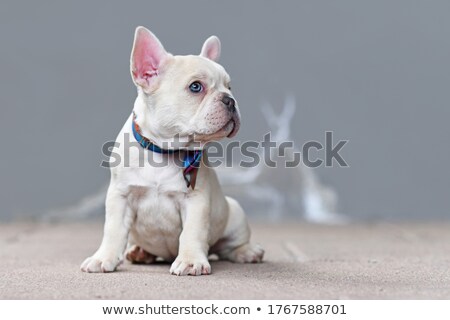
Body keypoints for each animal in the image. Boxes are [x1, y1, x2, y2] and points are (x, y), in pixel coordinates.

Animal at [80, 26, 264, 276]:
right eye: (196, 87)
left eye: (229, 87)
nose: (230, 100)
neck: (163, 150)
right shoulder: (120, 196)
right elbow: (113, 230)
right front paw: (103, 258)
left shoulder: (196, 201)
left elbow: (192, 233)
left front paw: (190, 261)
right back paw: (140, 252)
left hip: (234, 213)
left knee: (229, 246)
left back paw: (248, 252)